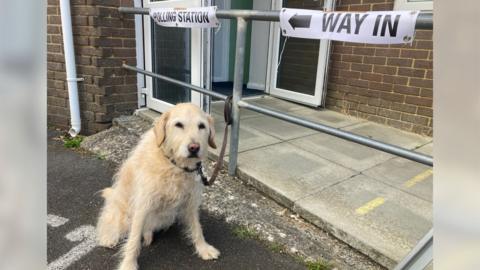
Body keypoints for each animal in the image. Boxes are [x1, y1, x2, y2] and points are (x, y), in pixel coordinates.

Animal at [96, 103, 220, 270]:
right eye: (179, 125)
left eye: (201, 126)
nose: (194, 148)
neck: (173, 164)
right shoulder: (142, 205)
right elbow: (133, 240)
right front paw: (128, 264)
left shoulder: (190, 202)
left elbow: (196, 228)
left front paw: (203, 249)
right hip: (122, 214)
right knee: (109, 221)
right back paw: (108, 238)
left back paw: (148, 235)